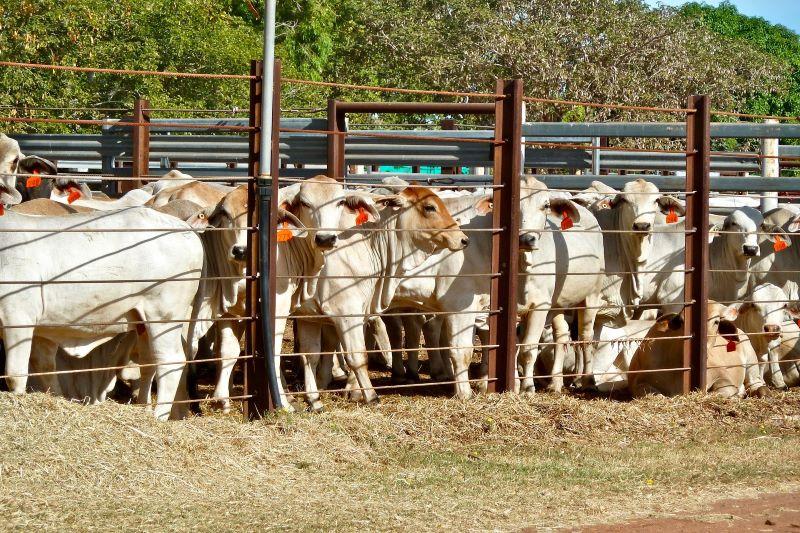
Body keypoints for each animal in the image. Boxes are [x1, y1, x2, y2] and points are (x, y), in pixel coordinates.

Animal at [0, 207, 203, 420]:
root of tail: (185, 227)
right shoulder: (42, 330)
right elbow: (45, 369)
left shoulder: (17, 317)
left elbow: (15, 375)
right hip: (144, 322)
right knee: (149, 362)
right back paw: (144, 407)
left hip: (164, 316)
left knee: (170, 361)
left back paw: (158, 416)